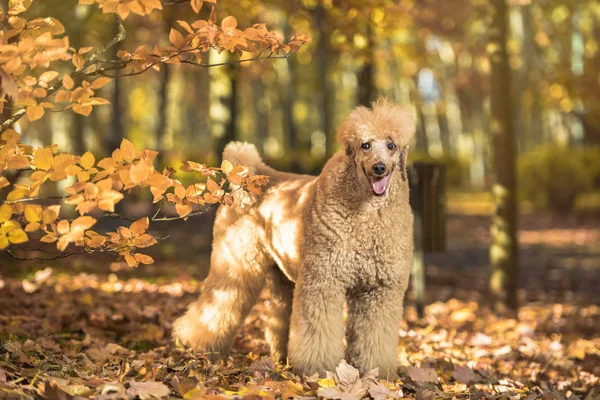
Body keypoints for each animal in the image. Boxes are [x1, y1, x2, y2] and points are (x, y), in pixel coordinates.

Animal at [173, 98, 414, 376]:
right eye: (365, 145)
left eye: (391, 145)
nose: (379, 168)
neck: (367, 212)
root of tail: (252, 176)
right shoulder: (323, 282)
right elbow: (318, 333)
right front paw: (319, 370)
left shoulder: (379, 290)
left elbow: (374, 337)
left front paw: (374, 372)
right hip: (234, 263)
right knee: (218, 305)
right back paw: (195, 345)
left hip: (282, 276)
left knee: (278, 315)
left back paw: (280, 356)